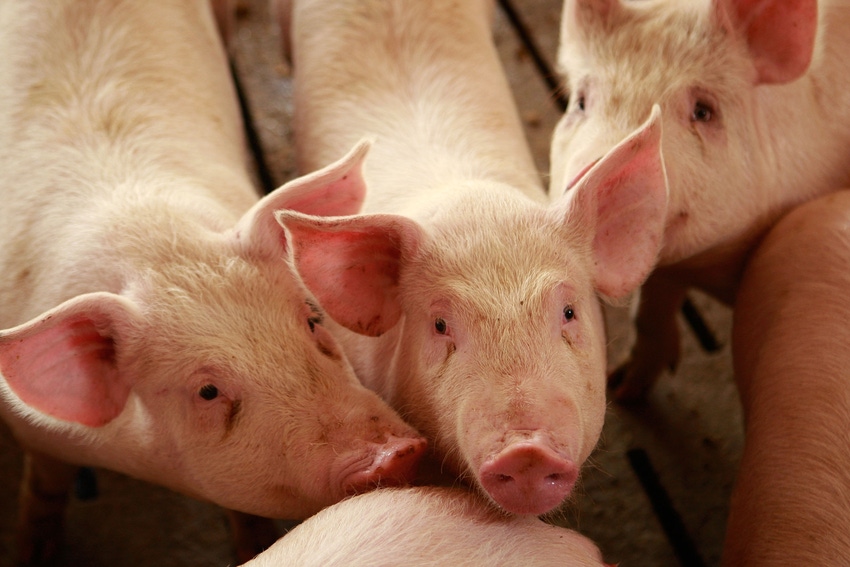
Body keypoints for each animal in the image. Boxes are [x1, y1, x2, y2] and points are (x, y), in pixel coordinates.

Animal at [0, 0, 424, 564]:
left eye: (313, 321)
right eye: (207, 391)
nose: (393, 454)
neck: (153, 243)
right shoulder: (38, 440)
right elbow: (45, 488)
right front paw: (29, 550)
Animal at [548, 0, 848, 402]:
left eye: (703, 111)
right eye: (580, 103)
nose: (599, 169)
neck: (711, 267)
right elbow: (647, 314)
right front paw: (624, 388)